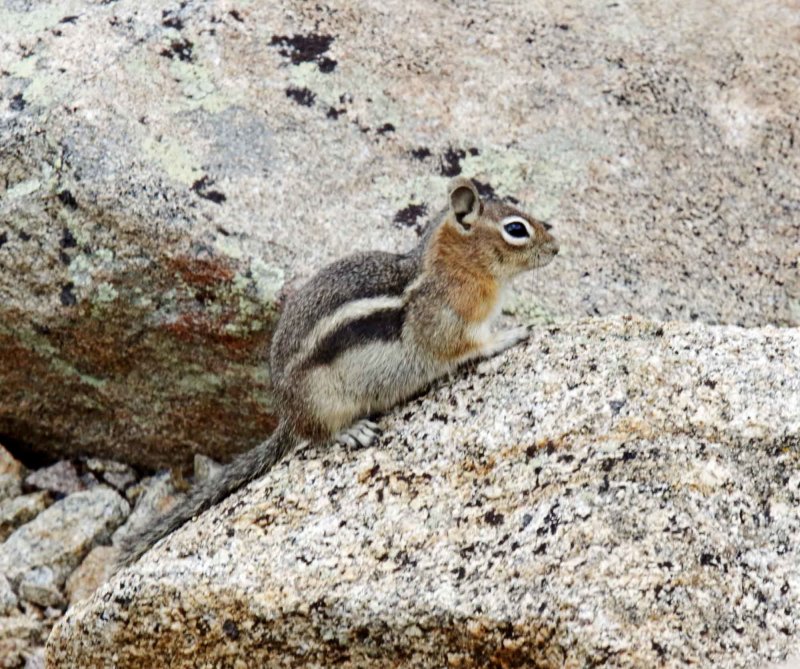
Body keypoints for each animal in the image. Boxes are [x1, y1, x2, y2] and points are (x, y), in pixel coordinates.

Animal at [120, 177, 556, 564]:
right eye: (516, 229)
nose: (555, 247)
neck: (453, 267)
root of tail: (288, 414)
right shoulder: (446, 326)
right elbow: (468, 346)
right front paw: (511, 334)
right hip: (325, 402)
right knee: (318, 436)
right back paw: (351, 431)